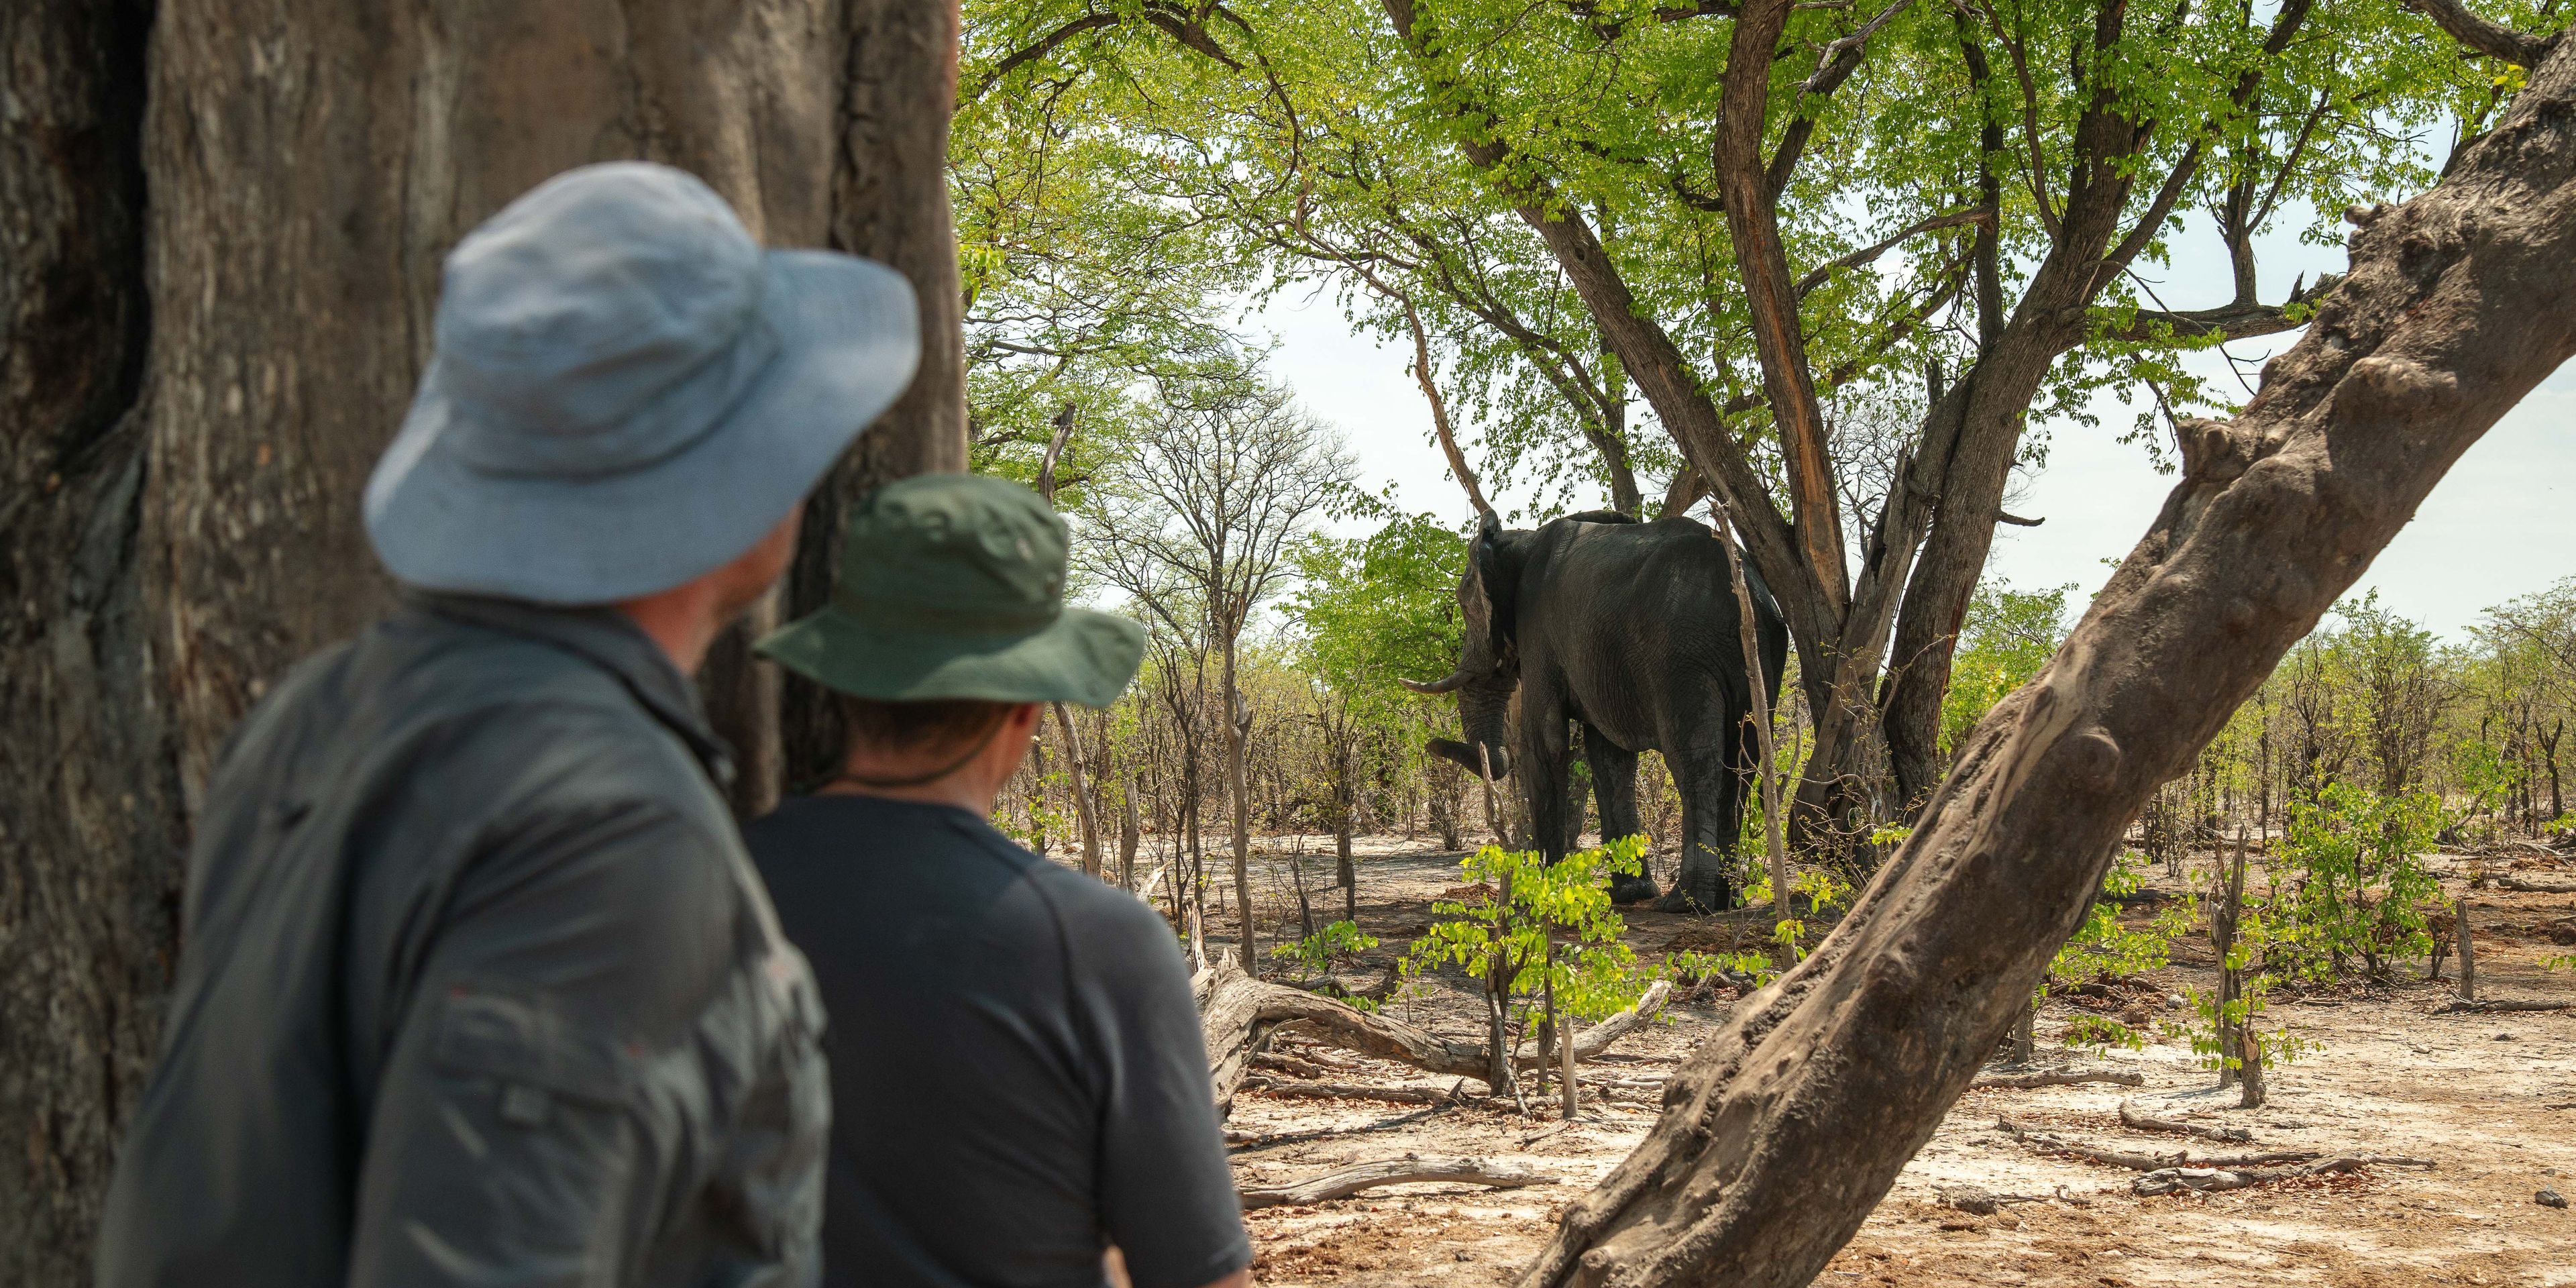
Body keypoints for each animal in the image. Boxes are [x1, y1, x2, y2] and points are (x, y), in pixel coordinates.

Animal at [1403, 510, 1789, 912]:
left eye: (1465, 606)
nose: (1431, 745)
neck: (1518, 539)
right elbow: (1609, 758)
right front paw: (1629, 894)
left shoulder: (1539, 632)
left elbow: (1545, 741)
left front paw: (1538, 892)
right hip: (1757, 656)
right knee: (1744, 763)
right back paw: (1727, 901)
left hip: (1682, 658)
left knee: (1695, 762)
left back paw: (1685, 902)